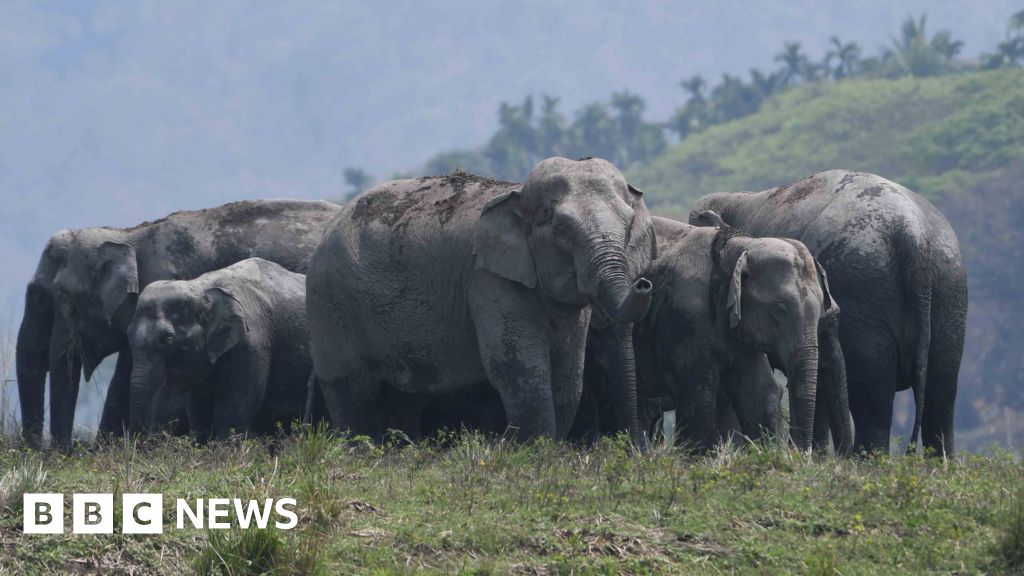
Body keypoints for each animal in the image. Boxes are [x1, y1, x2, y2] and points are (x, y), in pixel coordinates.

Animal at [125, 258, 307, 436]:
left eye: (168, 338)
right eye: (128, 335)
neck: (202, 288)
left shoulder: (252, 346)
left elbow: (232, 414)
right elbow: (199, 412)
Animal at [305, 158, 655, 440]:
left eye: (628, 226)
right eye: (562, 230)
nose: (643, 285)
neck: (517, 193)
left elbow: (568, 378)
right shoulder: (487, 281)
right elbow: (518, 369)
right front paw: (533, 454)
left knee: (402, 398)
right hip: (331, 303)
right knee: (351, 391)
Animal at [581, 215, 851, 453]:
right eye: (779, 310)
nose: (800, 452)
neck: (738, 247)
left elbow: (758, 393)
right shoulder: (685, 319)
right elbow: (699, 400)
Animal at [688, 168, 966, 455]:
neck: (736, 198)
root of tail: (914, 237)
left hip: (868, 288)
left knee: (873, 402)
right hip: (948, 291)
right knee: (941, 394)